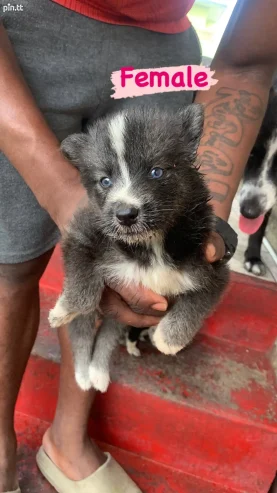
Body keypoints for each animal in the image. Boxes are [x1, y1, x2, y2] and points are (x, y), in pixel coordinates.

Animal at [48, 104, 229, 392]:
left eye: (156, 172)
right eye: (105, 181)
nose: (125, 214)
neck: (150, 242)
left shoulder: (213, 263)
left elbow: (197, 302)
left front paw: (169, 339)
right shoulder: (82, 235)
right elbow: (83, 287)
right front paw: (64, 309)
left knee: (108, 335)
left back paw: (99, 372)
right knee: (84, 330)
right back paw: (84, 373)